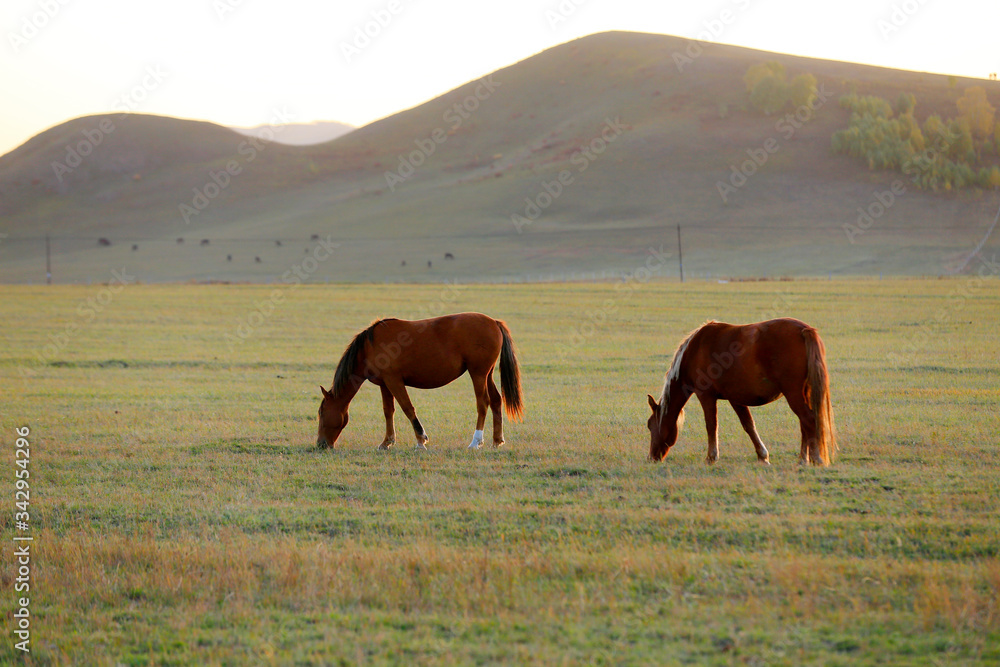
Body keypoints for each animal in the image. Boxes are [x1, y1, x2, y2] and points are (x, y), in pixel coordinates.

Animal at [317, 313, 523, 451]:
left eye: (321, 413)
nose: (321, 444)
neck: (370, 347)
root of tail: (494, 322)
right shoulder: (385, 384)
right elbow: (388, 411)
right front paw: (387, 442)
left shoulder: (394, 381)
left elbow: (408, 408)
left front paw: (420, 440)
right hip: (487, 374)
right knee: (496, 401)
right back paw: (497, 440)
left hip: (478, 374)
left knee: (483, 403)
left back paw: (475, 442)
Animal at [646, 318, 835, 466]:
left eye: (649, 425)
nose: (651, 457)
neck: (695, 350)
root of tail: (804, 330)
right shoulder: (735, 399)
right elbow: (748, 425)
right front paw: (762, 456)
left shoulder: (706, 396)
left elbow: (711, 425)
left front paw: (711, 457)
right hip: (803, 393)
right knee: (805, 424)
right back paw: (803, 458)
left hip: (793, 393)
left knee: (809, 420)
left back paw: (814, 458)